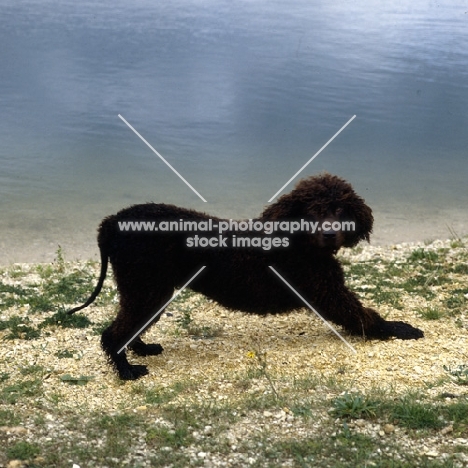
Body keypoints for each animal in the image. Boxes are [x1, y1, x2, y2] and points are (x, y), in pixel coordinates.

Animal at [68, 174, 424, 378]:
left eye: (340, 210)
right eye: (312, 211)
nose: (329, 234)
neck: (298, 242)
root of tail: (111, 223)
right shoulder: (330, 294)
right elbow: (366, 317)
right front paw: (400, 329)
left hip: (148, 289)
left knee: (130, 325)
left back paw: (140, 350)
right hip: (146, 287)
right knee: (113, 333)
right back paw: (126, 370)